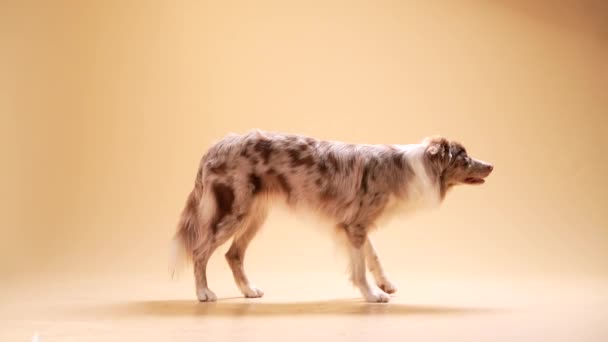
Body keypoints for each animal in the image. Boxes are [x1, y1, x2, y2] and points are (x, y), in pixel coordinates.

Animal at [169, 130, 492, 302]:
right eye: (464, 158)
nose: (491, 165)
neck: (412, 167)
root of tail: (217, 145)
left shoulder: (354, 224)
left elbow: (373, 256)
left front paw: (385, 284)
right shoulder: (356, 225)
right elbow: (360, 267)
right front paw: (373, 295)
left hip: (254, 216)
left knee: (233, 254)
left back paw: (249, 290)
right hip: (233, 212)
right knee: (200, 251)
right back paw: (204, 292)